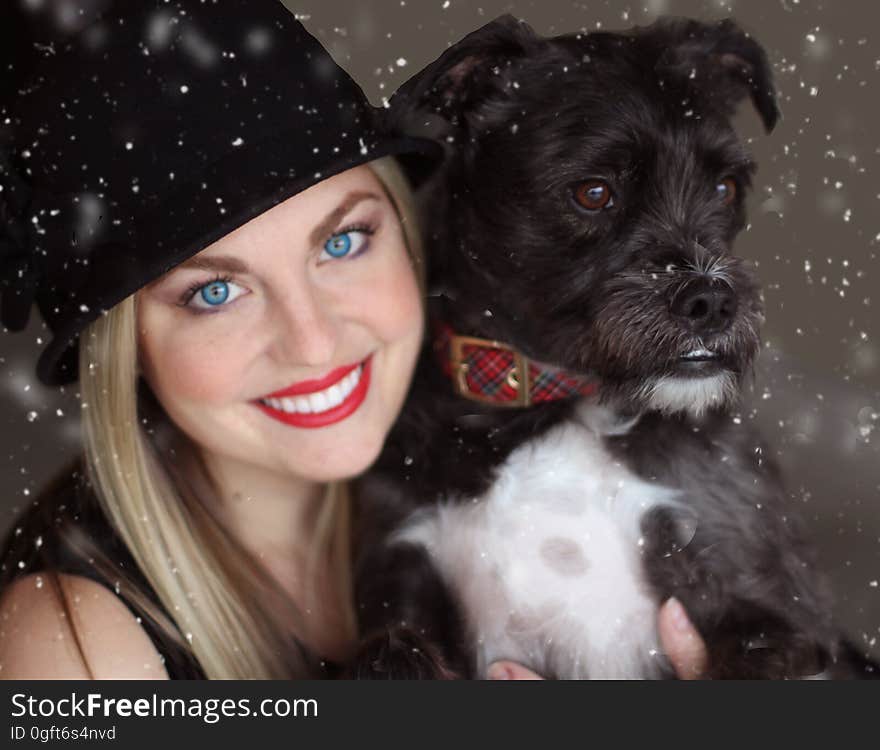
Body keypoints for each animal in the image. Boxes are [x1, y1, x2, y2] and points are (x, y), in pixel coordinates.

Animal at [348, 14, 872, 680]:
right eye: (594, 193)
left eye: (725, 187)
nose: (713, 300)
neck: (555, 403)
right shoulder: (401, 563)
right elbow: (387, 654)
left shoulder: (766, 599)